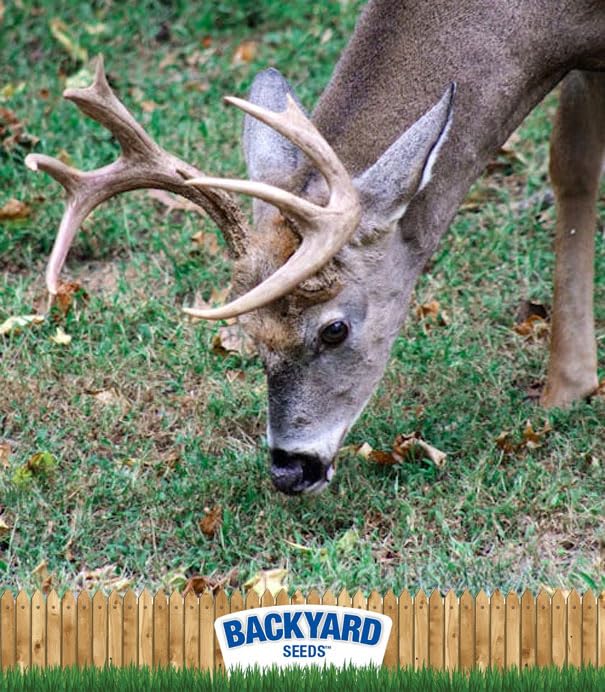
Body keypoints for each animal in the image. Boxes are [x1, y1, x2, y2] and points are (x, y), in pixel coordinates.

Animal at [26, 0, 605, 495]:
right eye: (251, 333)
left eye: (334, 329)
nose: (289, 470)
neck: (555, 31)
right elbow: (573, 167)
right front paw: (570, 386)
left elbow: (572, 161)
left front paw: (567, 388)